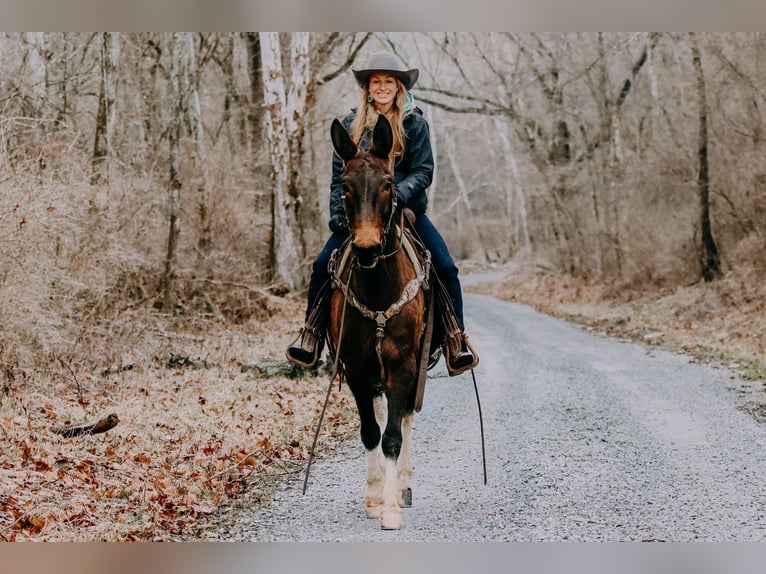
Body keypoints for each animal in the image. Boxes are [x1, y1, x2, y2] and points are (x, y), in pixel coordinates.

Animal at [328, 115, 440, 532]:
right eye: (344, 185)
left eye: (389, 184)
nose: (366, 247)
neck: (378, 287)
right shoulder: (358, 369)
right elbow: (370, 432)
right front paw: (375, 497)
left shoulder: (404, 363)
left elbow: (393, 435)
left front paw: (392, 506)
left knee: (404, 418)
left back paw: (403, 487)